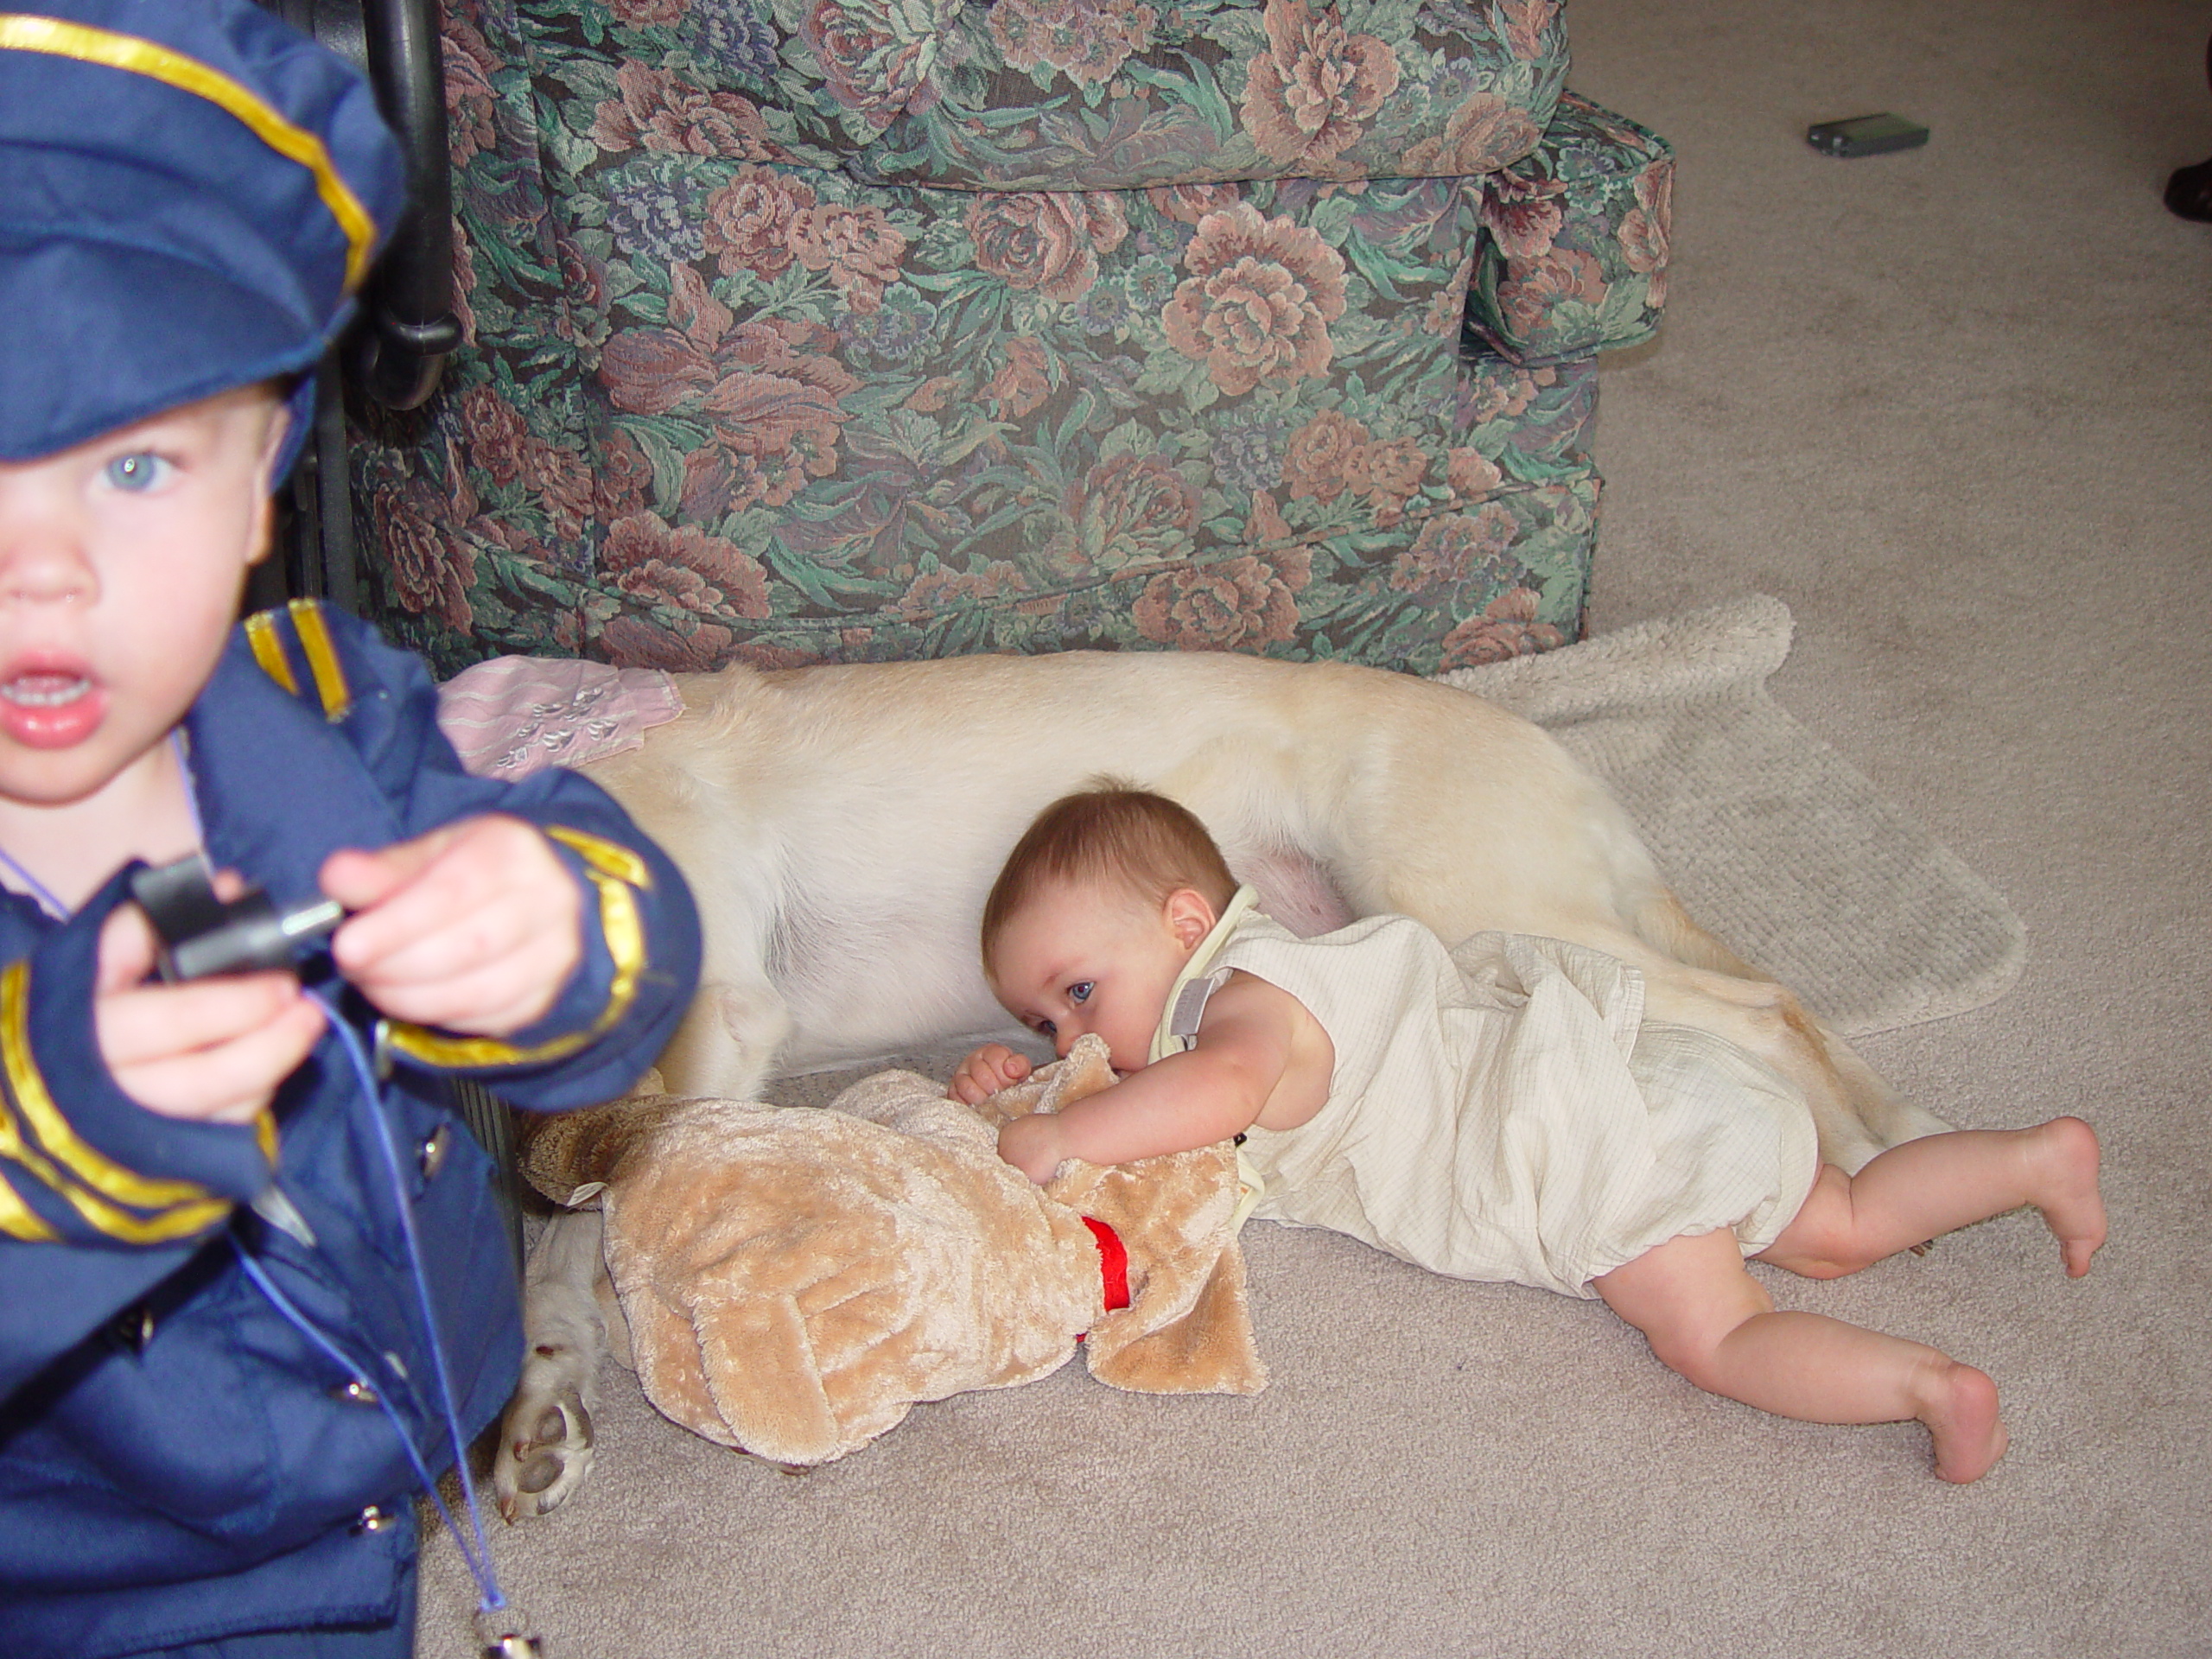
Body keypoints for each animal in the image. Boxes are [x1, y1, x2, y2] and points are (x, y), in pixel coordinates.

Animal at [493, 654, 1946, 1522]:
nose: (514, 1151)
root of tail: (1564, 761)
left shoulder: (715, 1010)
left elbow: (620, 1203)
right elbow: (558, 1255)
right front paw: (542, 1404)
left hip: (1473, 896)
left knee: (1768, 1007)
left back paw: (1883, 1143)